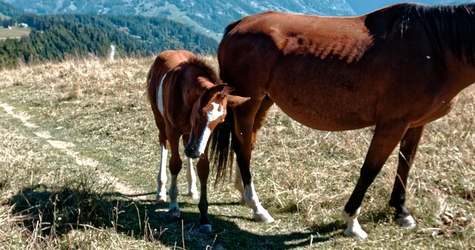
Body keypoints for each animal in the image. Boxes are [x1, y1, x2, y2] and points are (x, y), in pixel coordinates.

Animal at [147, 49, 249, 233]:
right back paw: (161, 190)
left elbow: (203, 168)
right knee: (164, 144)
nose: (196, 150)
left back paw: (191, 187)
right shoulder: (172, 130)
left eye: (221, 120)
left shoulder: (204, 140)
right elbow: (175, 164)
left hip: (189, 135)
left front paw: (204, 217)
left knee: (186, 148)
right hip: (160, 121)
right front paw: (174, 207)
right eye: (201, 112)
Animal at [217, 2, 475, 238]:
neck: (436, 51)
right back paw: (257, 207)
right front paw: (352, 222)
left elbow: (406, 163)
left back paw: (245, 196)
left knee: (248, 142)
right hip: (249, 101)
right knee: (242, 146)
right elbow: (370, 170)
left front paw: (401, 211)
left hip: (264, 101)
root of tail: (239, 24)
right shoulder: (392, 124)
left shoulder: (416, 123)